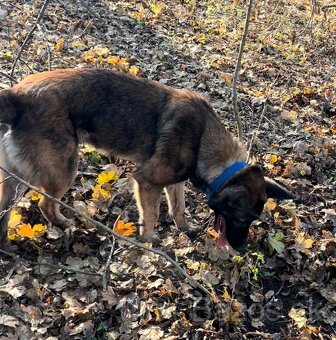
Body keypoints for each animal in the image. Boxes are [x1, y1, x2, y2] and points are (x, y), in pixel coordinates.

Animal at [0, 67, 294, 251]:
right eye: (242, 219)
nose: (242, 248)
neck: (203, 139)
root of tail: (17, 95)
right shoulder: (147, 181)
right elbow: (151, 214)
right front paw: (150, 240)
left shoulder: (175, 181)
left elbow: (178, 208)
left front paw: (184, 228)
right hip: (65, 170)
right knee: (46, 205)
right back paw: (64, 224)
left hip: (14, 178)